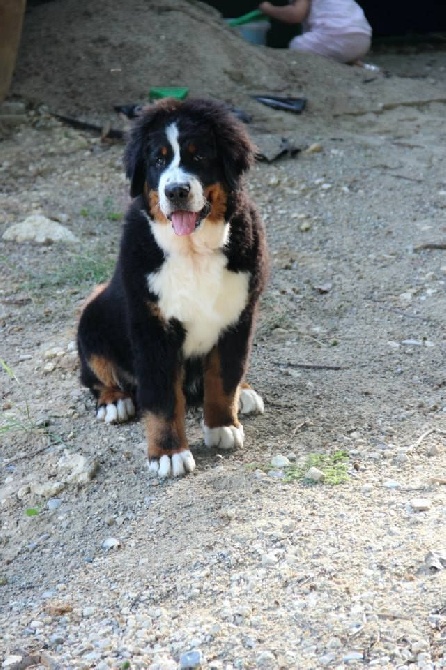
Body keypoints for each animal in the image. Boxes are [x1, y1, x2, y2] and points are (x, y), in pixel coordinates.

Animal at [76, 97, 268, 480]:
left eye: (200, 155)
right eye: (158, 160)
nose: (176, 191)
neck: (194, 251)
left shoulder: (238, 318)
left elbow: (224, 376)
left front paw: (223, 425)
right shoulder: (153, 328)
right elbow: (163, 398)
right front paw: (168, 453)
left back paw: (245, 392)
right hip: (91, 320)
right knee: (94, 374)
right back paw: (114, 401)